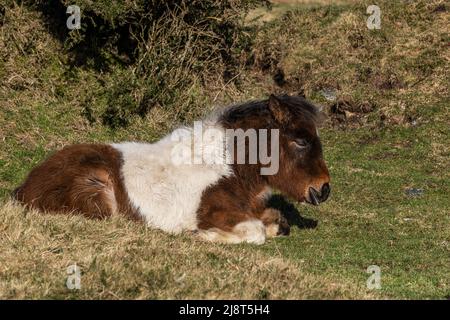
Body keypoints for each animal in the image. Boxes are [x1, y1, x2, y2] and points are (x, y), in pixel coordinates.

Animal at [14, 94, 330, 244]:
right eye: (301, 141)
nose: (323, 189)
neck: (227, 167)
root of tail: (24, 188)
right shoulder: (218, 213)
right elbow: (256, 232)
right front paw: (200, 235)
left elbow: (276, 221)